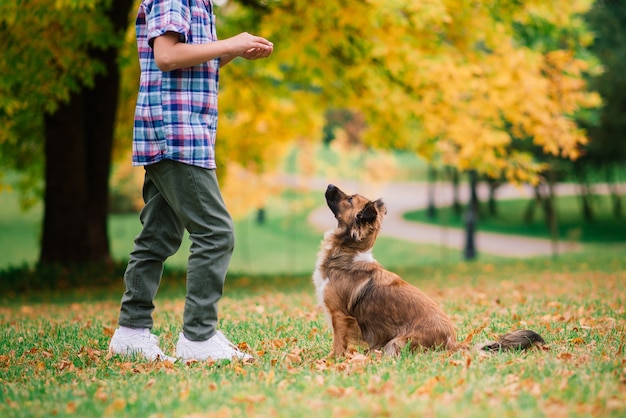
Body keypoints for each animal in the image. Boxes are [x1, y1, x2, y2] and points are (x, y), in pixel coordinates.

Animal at [312, 184, 540, 356]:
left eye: (350, 199)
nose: (330, 185)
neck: (348, 252)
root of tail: (452, 342)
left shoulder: (339, 316)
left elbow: (338, 343)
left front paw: (331, 361)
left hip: (397, 342)